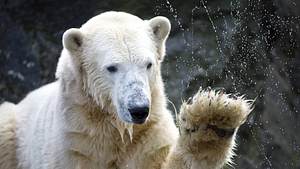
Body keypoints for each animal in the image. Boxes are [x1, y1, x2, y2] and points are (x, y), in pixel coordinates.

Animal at [0, 11, 253, 168]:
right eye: (112, 67)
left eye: (148, 64)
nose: (138, 109)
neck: (112, 128)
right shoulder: (75, 142)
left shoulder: (149, 137)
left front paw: (214, 119)